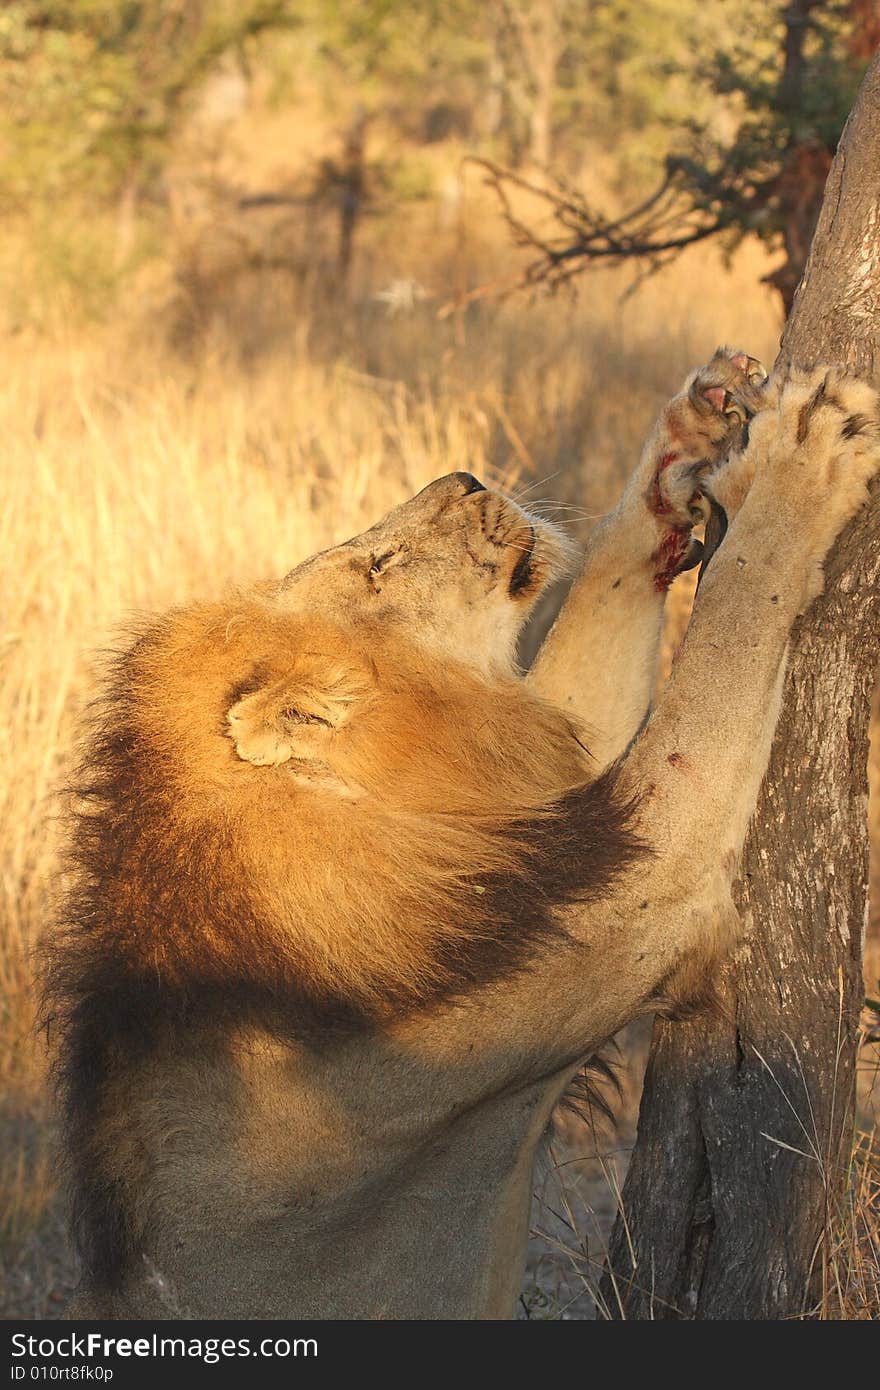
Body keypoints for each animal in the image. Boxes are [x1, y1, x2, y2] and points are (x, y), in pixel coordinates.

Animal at [46, 353, 878, 1317]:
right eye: (378, 565)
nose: (465, 478)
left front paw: (687, 444)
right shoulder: (631, 895)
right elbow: (729, 636)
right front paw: (797, 459)